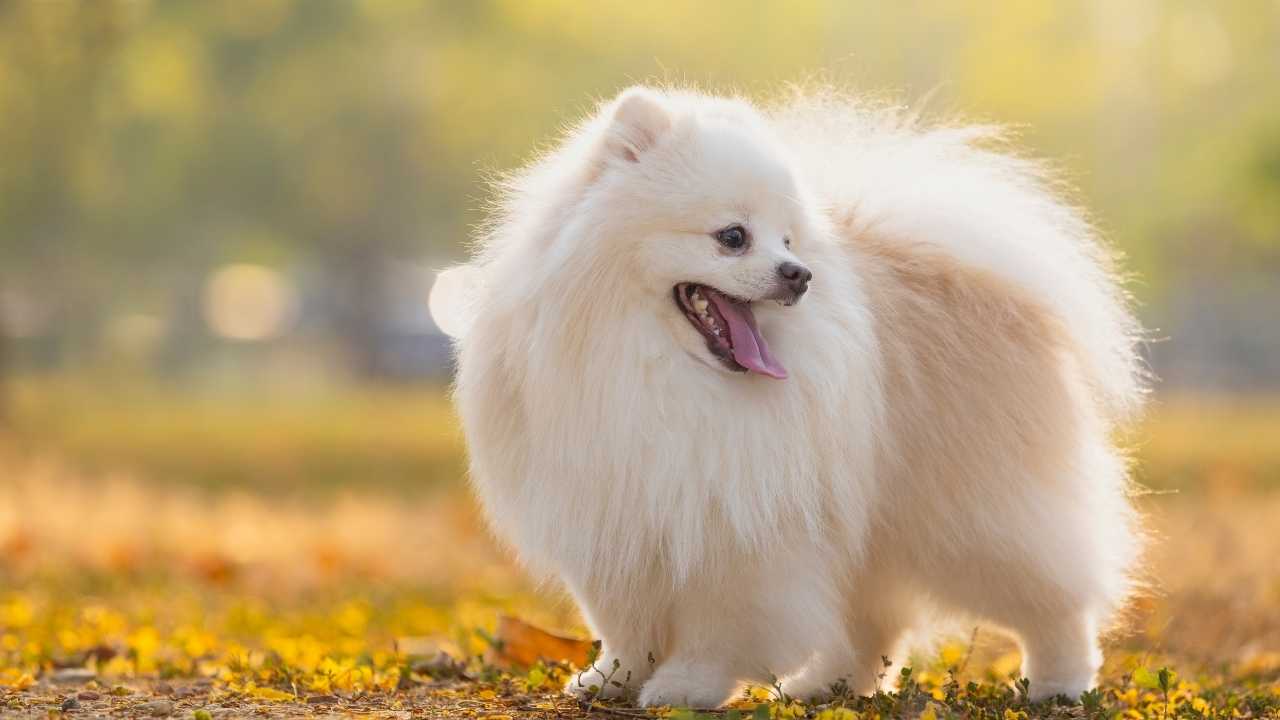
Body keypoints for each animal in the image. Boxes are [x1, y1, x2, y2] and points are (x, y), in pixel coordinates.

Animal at [437, 85, 1141, 707]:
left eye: (789, 240)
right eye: (733, 236)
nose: (799, 275)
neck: (660, 373)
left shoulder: (740, 524)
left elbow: (718, 625)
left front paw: (686, 686)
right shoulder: (622, 507)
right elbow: (625, 622)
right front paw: (613, 678)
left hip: (973, 516)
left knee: (1053, 599)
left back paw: (1059, 683)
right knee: (873, 621)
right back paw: (827, 686)